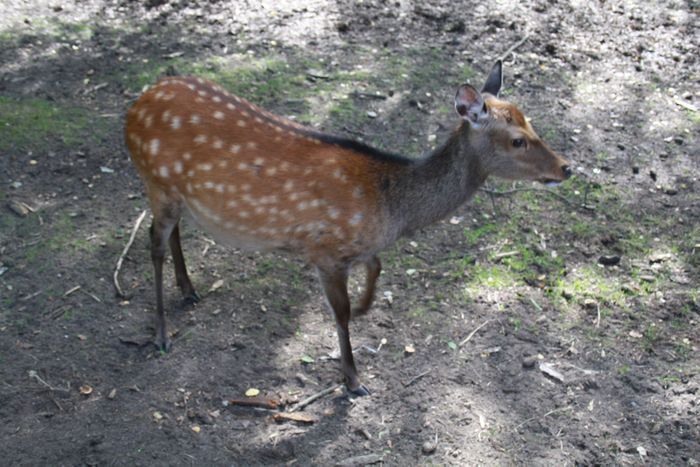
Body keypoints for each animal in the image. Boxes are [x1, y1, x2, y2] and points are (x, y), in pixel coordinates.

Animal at [126, 60, 572, 396]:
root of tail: (138, 102)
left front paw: (363, 307)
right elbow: (339, 313)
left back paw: (188, 289)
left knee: (172, 232)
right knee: (153, 243)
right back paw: (161, 332)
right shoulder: (325, 250)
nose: (566, 168)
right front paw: (353, 379)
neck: (390, 206)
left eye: (532, 124)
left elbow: (376, 268)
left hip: (174, 191)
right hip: (156, 179)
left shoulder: (357, 248)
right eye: (517, 140)